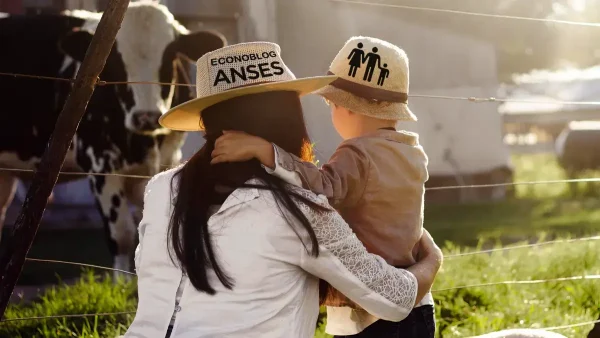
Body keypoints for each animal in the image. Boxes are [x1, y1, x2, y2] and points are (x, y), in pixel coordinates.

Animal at [0, 1, 227, 278]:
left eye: (169, 55)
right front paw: (122, 282)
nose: (146, 116)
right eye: (115, 60)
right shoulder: (101, 165)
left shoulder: (165, 160)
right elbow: (123, 235)